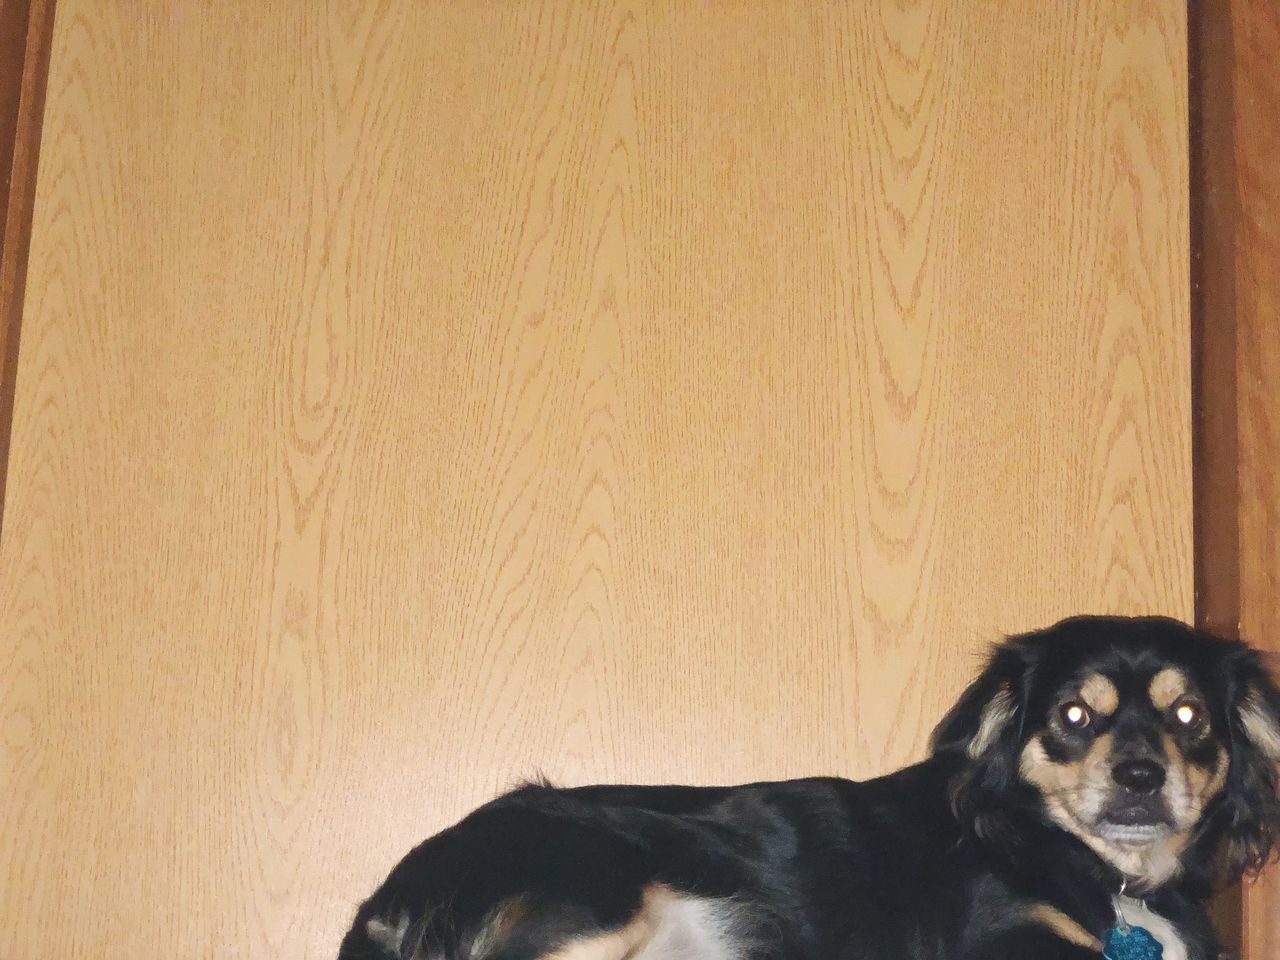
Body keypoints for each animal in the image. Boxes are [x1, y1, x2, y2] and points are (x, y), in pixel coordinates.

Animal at [335, 616, 1274, 960]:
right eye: (1075, 716)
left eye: (1189, 715)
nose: (1142, 776)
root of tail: (389, 897)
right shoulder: (1007, 945)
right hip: (598, 900)